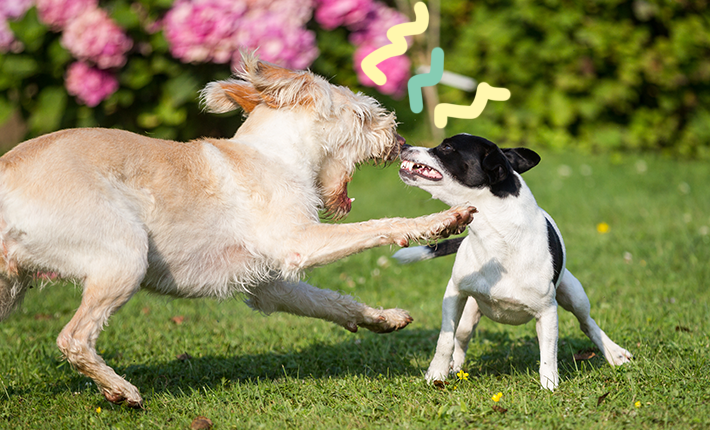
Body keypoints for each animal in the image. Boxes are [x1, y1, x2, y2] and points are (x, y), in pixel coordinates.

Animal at [0, 53, 476, 406]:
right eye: (363, 115)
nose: (399, 142)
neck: (275, 154)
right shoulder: (299, 243)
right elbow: (383, 224)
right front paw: (442, 220)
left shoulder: (270, 283)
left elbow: (332, 301)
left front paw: (384, 318)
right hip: (124, 255)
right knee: (73, 338)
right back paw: (121, 390)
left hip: (12, 286)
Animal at [394, 134, 636, 390]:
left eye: (447, 147)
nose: (404, 144)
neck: (495, 238)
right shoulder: (455, 293)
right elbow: (445, 339)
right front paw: (436, 373)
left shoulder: (547, 312)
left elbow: (548, 353)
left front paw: (549, 385)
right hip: (469, 313)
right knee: (462, 337)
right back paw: (455, 367)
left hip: (575, 295)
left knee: (587, 323)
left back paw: (614, 353)